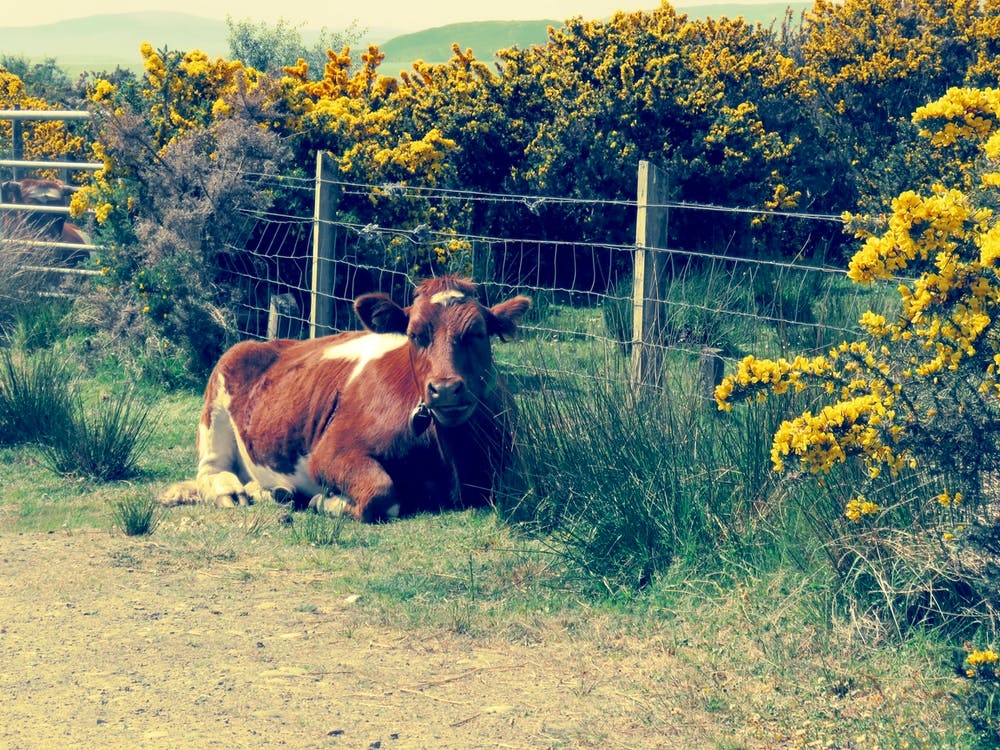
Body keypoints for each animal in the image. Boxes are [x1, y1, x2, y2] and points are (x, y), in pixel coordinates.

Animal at [160, 276, 532, 522]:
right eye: (414, 335)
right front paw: (326, 501)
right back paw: (233, 491)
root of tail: (268, 343)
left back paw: (270, 492)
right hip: (216, 406)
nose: (445, 388)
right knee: (210, 470)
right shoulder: (330, 453)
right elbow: (381, 492)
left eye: (477, 333)